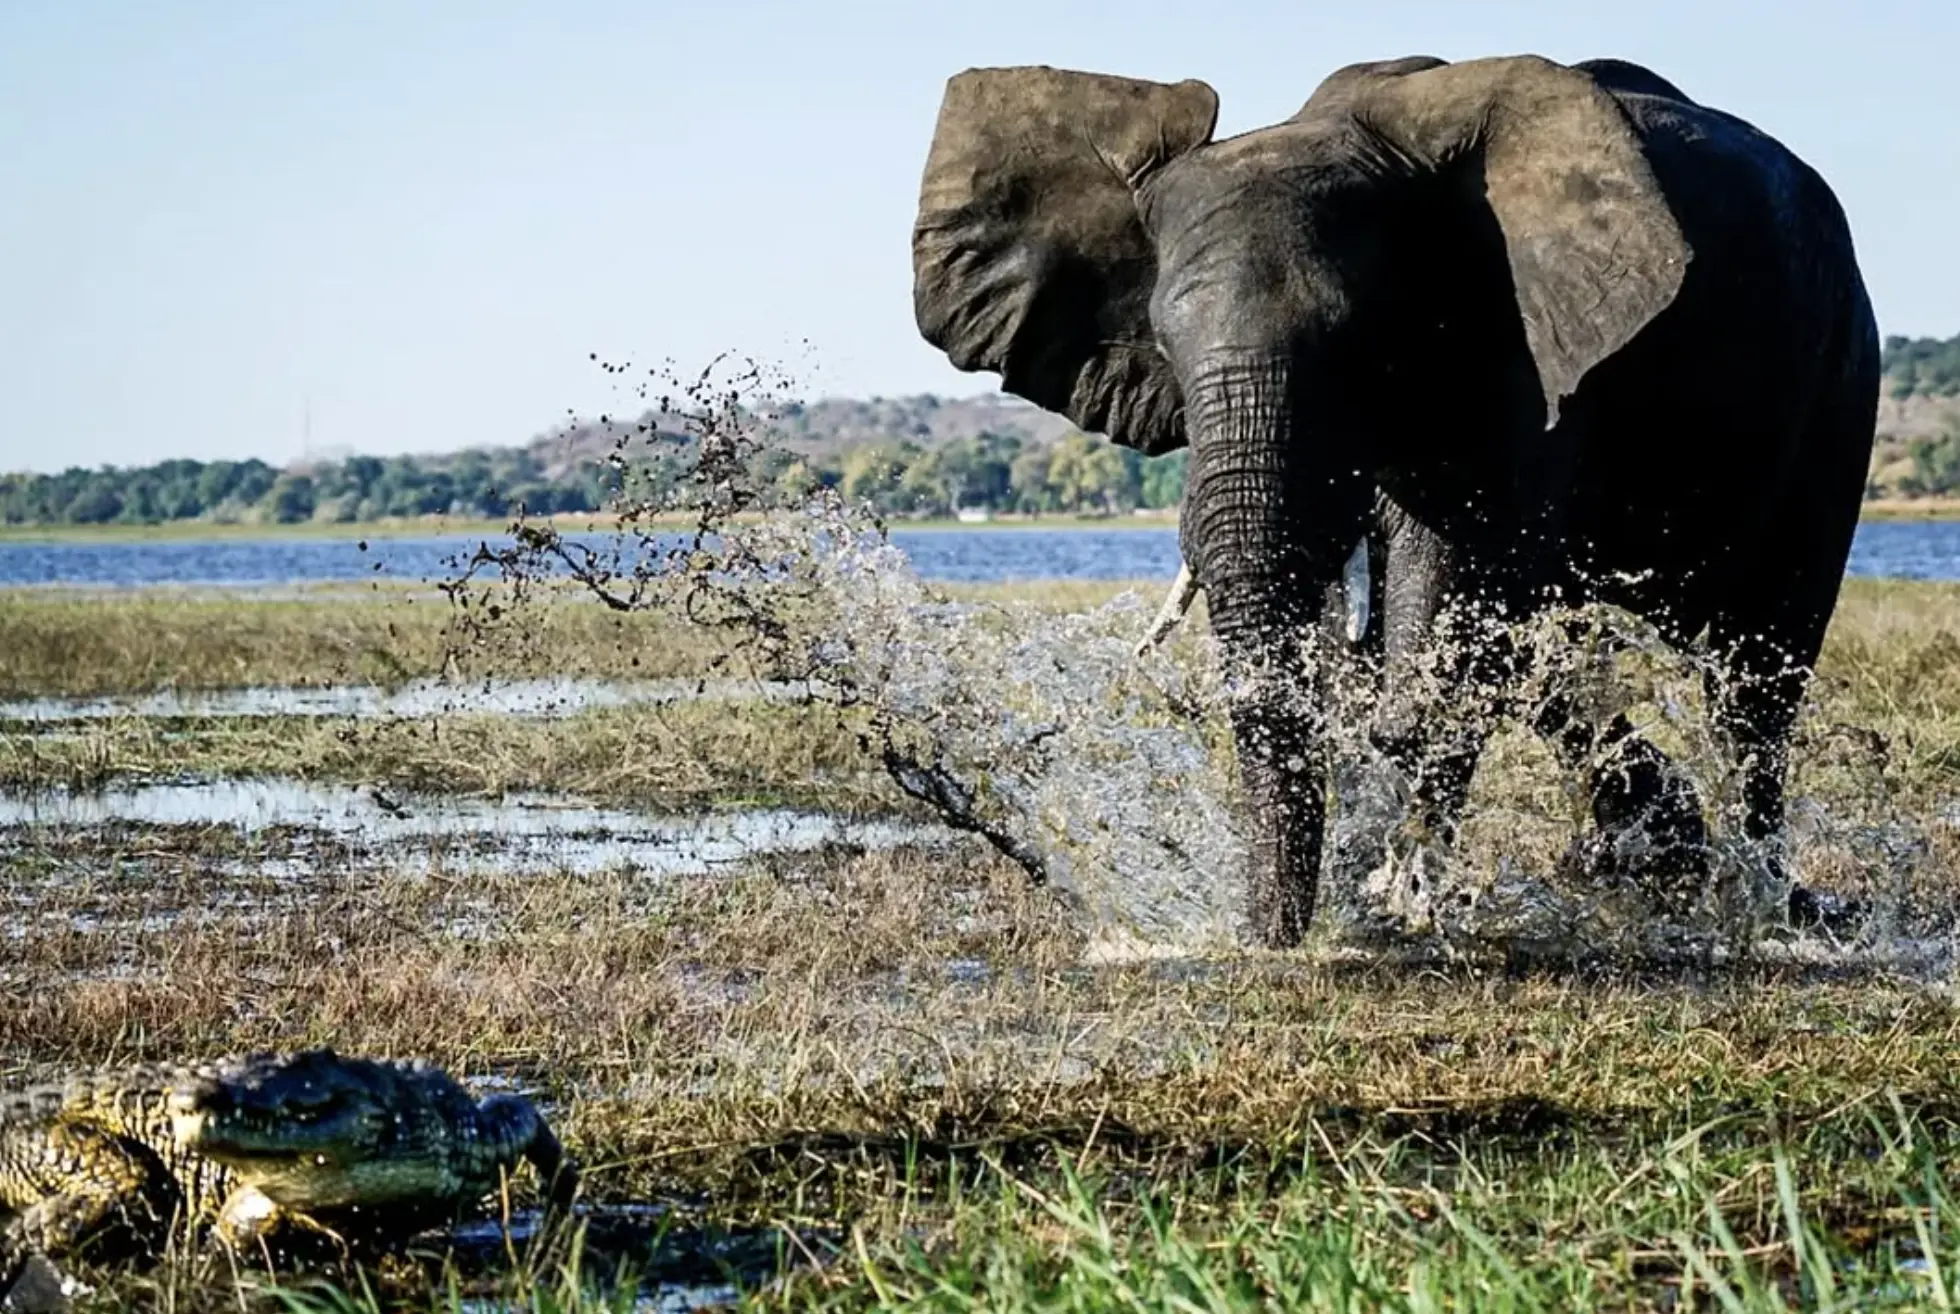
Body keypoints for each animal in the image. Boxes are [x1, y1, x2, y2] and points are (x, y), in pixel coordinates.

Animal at [909, 53, 1873, 949]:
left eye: (1353, 343)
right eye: (1166, 349)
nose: (1262, 941)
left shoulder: (1521, 345)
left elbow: (1451, 603)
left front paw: (1399, 904)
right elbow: (1423, 636)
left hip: (1836, 375)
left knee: (1755, 680)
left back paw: (1757, 908)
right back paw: (1661, 858)